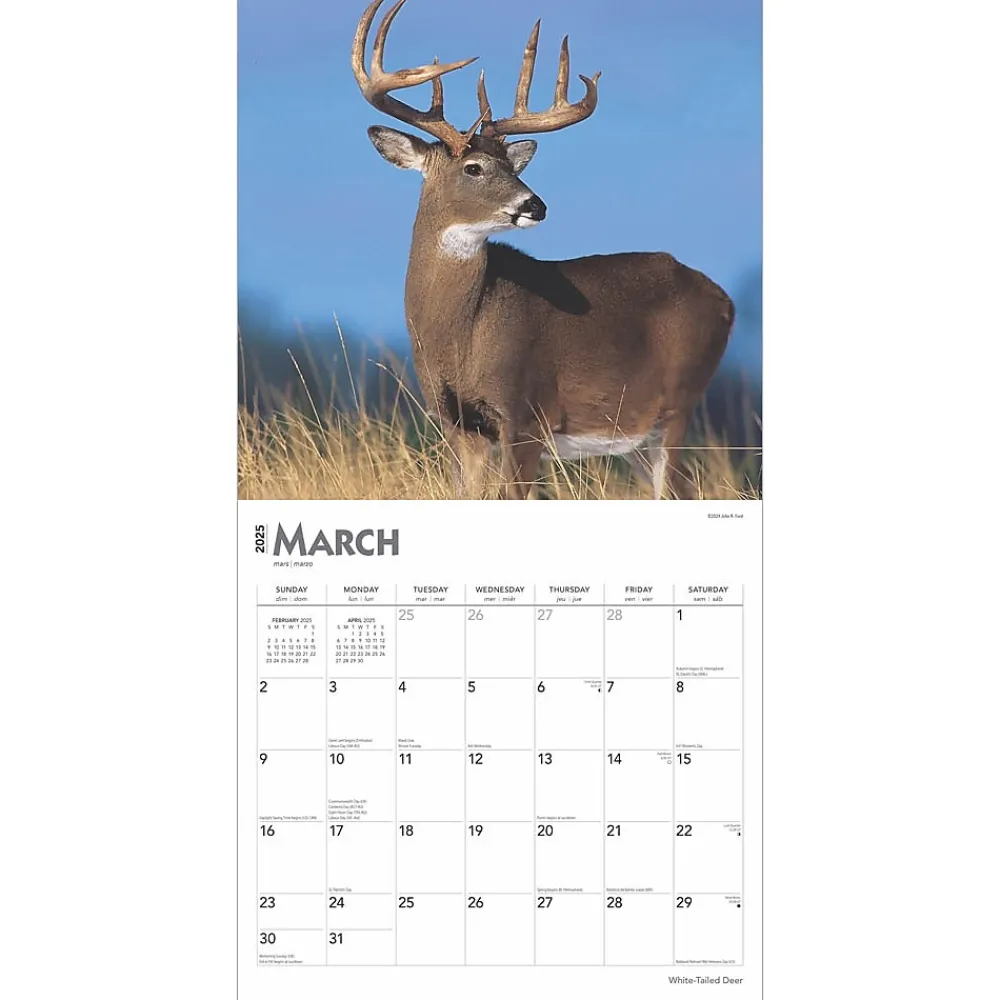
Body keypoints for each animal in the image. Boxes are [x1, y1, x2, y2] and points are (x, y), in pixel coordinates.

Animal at [351, 0, 736, 499]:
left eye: (511, 167)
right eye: (474, 167)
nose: (535, 205)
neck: (461, 336)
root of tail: (725, 301)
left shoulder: (526, 415)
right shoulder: (457, 424)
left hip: (677, 406)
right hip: (635, 434)